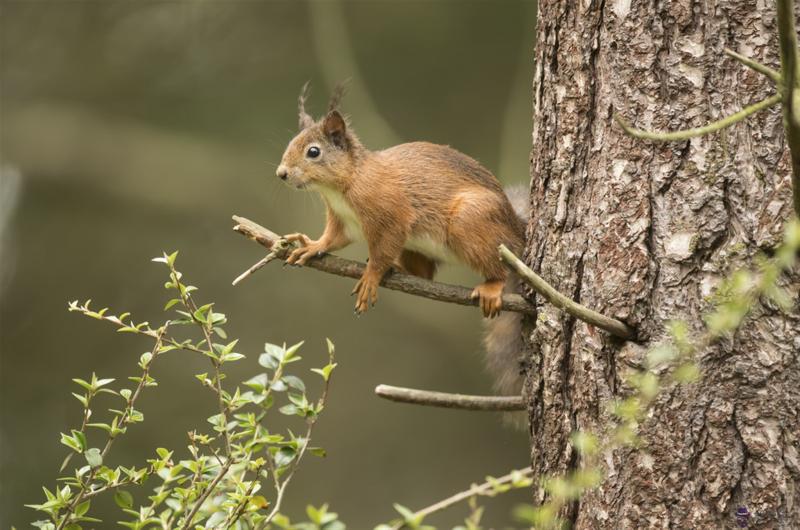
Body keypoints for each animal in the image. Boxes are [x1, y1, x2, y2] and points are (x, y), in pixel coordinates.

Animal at [278, 84, 528, 320]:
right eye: (290, 143)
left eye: (313, 152)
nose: (281, 173)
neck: (341, 188)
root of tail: (517, 230)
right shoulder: (343, 220)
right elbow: (334, 239)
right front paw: (313, 246)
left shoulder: (391, 216)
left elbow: (382, 251)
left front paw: (371, 276)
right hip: (417, 248)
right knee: (424, 274)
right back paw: (399, 269)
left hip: (471, 222)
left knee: (498, 267)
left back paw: (492, 285)